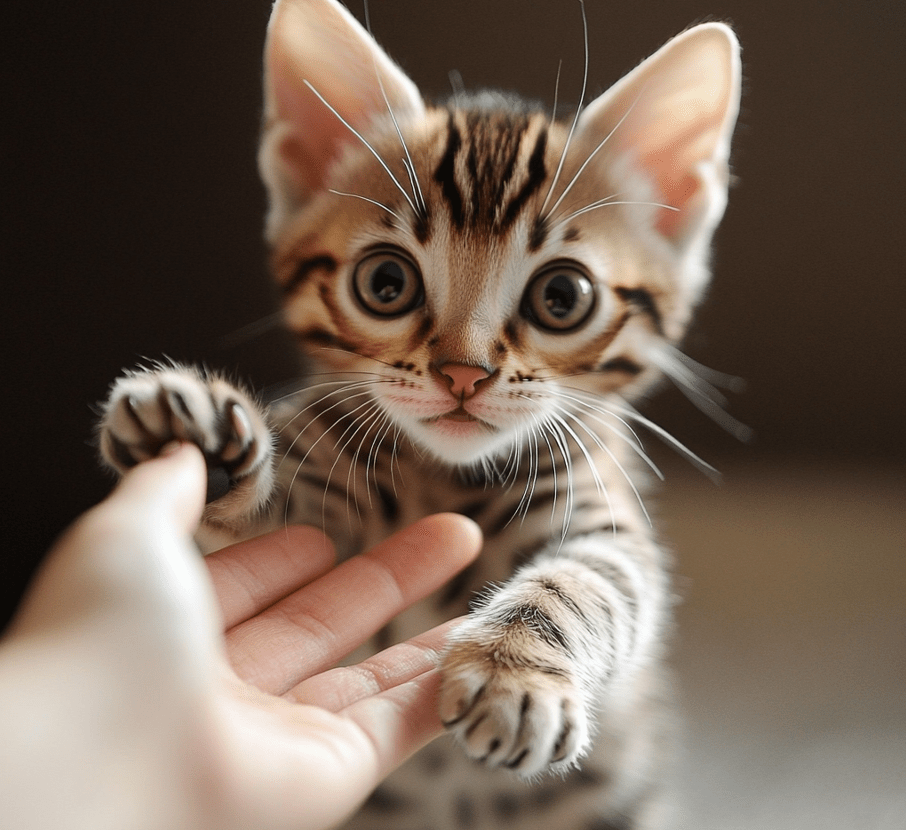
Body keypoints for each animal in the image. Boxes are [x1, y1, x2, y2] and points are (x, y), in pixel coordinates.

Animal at [99, 3, 740, 828]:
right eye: (386, 283)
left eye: (561, 297)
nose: (463, 373)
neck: (445, 478)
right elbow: (264, 538)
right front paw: (209, 447)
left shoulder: (605, 518)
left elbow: (590, 582)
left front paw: (513, 670)